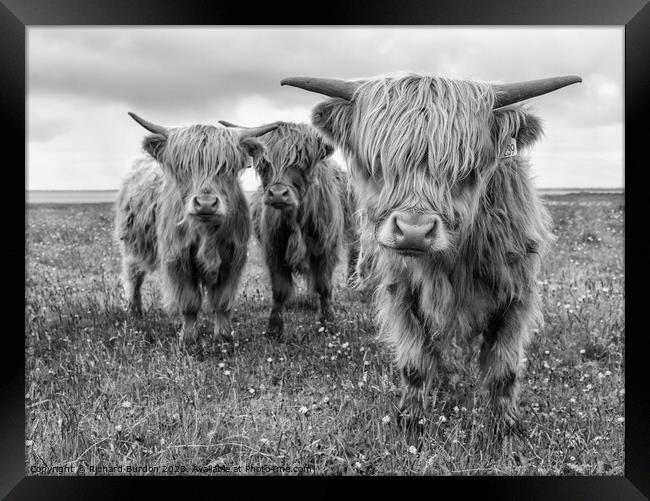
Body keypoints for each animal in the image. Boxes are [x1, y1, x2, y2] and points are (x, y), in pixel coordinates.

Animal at [115, 111, 278, 342]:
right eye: (184, 167)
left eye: (226, 167)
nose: (206, 203)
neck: (206, 232)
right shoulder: (178, 258)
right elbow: (189, 302)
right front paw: (189, 338)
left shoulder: (233, 258)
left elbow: (222, 302)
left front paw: (224, 337)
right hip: (133, 241)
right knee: (133, 274)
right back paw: (134, 311)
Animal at [219, 119, 360, 338]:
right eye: (264, 164)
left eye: (303, 161)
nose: (278, 194)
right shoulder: (273, 250)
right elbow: (280, 290)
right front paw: (274, 329)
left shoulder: (326, 250)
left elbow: (324, 286)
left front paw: (328, 323)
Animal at [280, 72, 580, 436]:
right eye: (378, 164)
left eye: (465, 168)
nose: (413, 230)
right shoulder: (402, 292)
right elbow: (415, 363)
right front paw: (411, 419)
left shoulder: (516, 293)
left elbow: (503, 368)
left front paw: (504, 426)